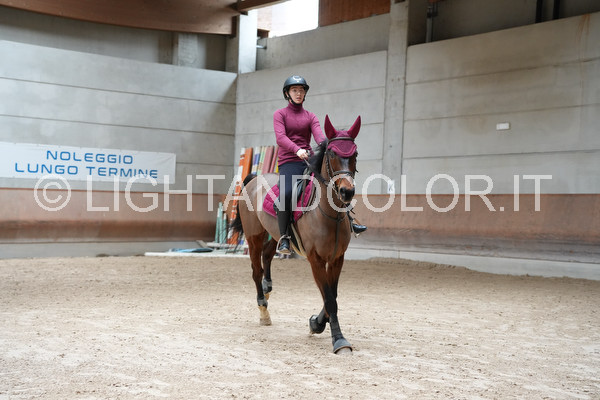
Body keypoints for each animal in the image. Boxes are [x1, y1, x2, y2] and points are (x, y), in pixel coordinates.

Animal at [230, 115, 361, 354]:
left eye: (354, 154)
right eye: (332, 153)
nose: (347, 192)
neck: (329, 215)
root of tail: (255, 179)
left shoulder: (337, 259)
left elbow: (333, 296)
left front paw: (316, 324)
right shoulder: (315, 260)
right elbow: (330, 299)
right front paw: (339, 340)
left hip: (274, 235)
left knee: (268, 256)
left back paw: (268, 286)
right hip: (254, 237)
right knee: (256, 270)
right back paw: (263, 309)